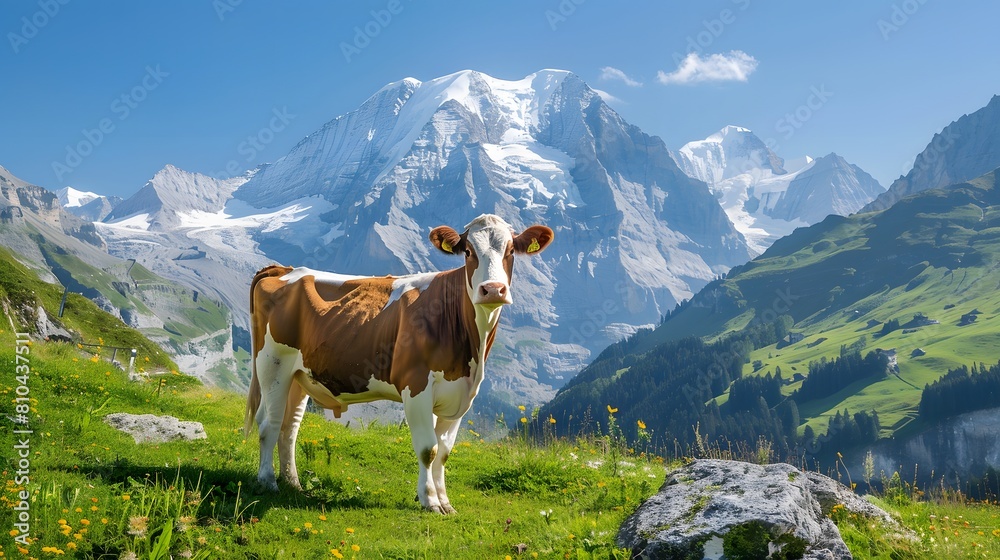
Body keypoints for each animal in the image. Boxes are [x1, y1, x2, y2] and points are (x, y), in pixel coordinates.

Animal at [243, 213, 556, 512]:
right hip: (273, 364)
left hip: (299, 375)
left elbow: (444, 452)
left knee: (289, 428)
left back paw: (292, 482)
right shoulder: (415, 384)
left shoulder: (461, 394)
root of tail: (286, 270)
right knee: (269, 423)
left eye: (510, 251)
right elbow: (428, 449)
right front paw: (430, 501)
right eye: (468, 251)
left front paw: (445, 501)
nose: (492, 289)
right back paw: (268, 481)